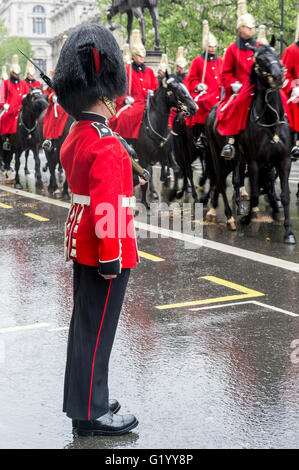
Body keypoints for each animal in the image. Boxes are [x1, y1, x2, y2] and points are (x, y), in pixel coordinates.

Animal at [127, 74, 199, 211]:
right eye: (176, 89)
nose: (194, 108)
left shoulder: (167, 153)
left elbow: (176, 170)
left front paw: (173, 193)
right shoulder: (144, 157)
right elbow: (145, 178)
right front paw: (145, 204)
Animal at [207, 41, 296, 242]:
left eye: (275, 54)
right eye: (260, 60)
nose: (278, 76)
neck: (271, 120)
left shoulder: (283, 161)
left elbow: (284, 195)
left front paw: (288, 231)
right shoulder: (255, 162)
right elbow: (255, 193)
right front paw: (246, 219)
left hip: (233, 161)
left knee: (224, 181)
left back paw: (213, 209)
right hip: (218, 156)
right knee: (221, 182)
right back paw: (230, 217)